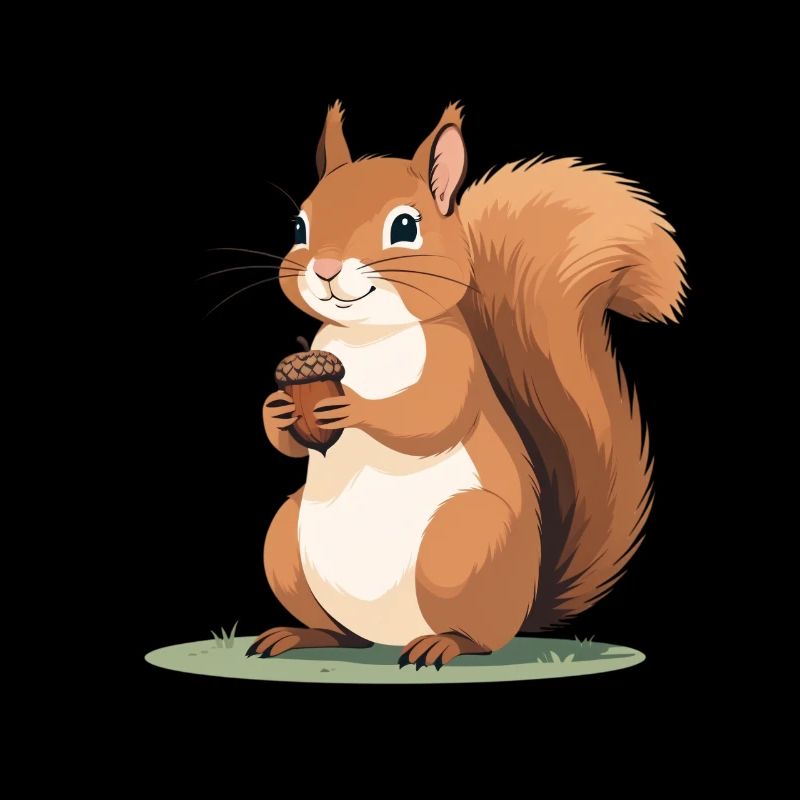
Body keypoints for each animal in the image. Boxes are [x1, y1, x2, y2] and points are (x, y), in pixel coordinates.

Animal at [249, 101, 685, 668]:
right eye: (299, 225)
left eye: (405, 226)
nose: (324, 268)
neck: (367, 334)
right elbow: (287, 439)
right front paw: (277, 409)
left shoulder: (455, 362)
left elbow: (430, 416)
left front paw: (354, 407)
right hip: (286, 541)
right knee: (342, 633)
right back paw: (300, 635)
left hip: (462, 542)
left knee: (480, 637)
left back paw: (442, 644)